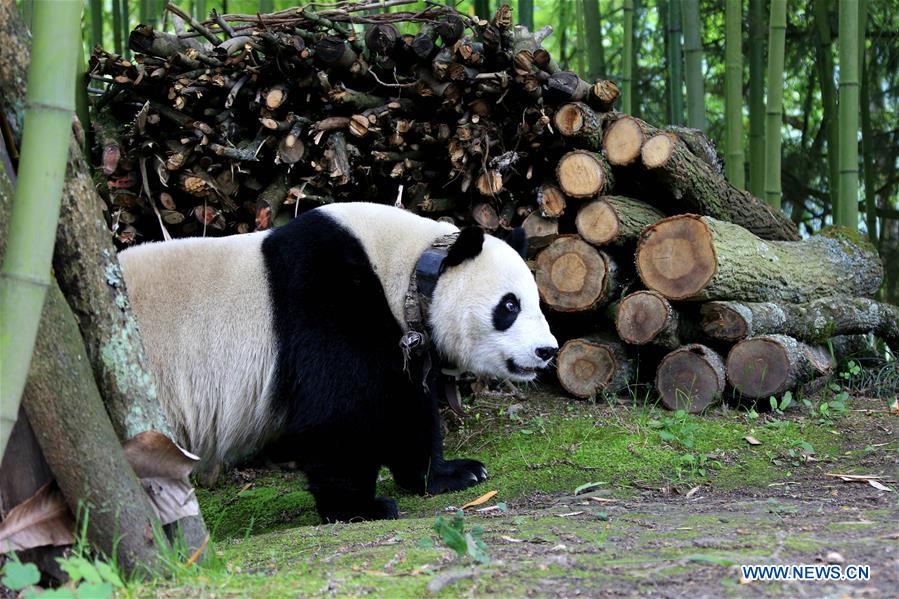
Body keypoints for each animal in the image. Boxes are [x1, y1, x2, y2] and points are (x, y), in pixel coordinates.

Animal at [119, 202, 558, 522]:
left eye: (536, 301)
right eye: (509, 306)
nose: (547, 351)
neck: (409, 270)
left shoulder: (402, 343)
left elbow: (407, 409)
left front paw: (453, 473)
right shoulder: (329, 299)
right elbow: (340, 415)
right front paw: (360, 508)